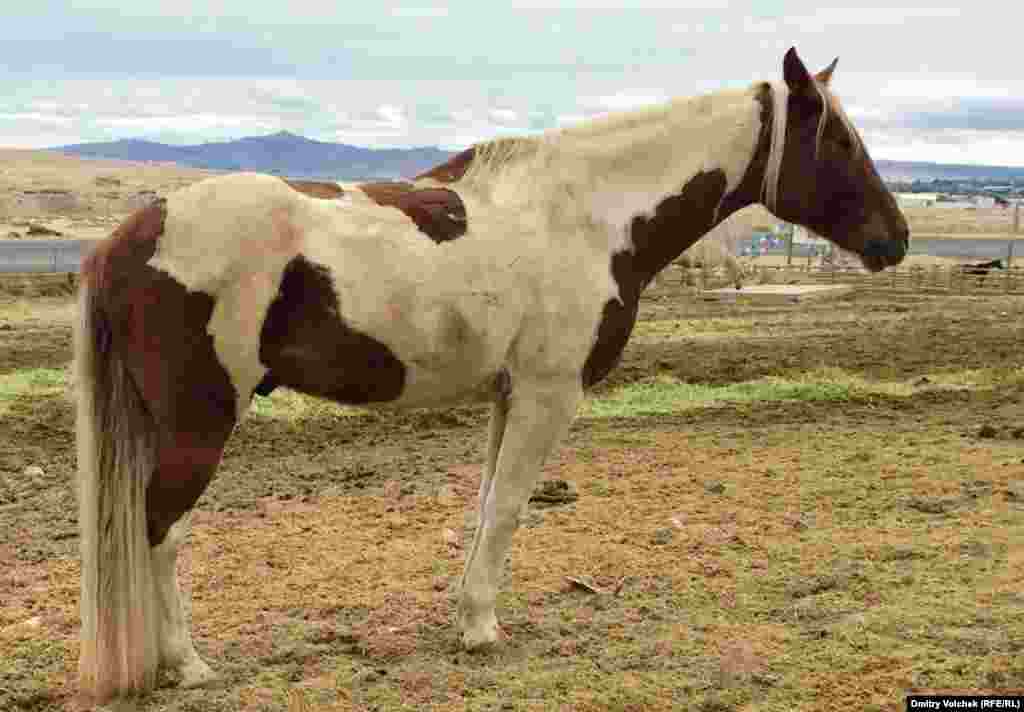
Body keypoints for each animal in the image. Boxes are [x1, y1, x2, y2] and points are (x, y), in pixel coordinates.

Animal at [70, 47, 905, 704]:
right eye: (834, 138)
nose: (894, 238)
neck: (587, 216)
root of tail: (127, 235)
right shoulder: (547, 394)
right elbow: (507, 509)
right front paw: (480, 629)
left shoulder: (509, 397)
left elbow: (484, 507)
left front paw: (465, 615)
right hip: (199, 423)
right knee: (161, 531)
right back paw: (187, 664)